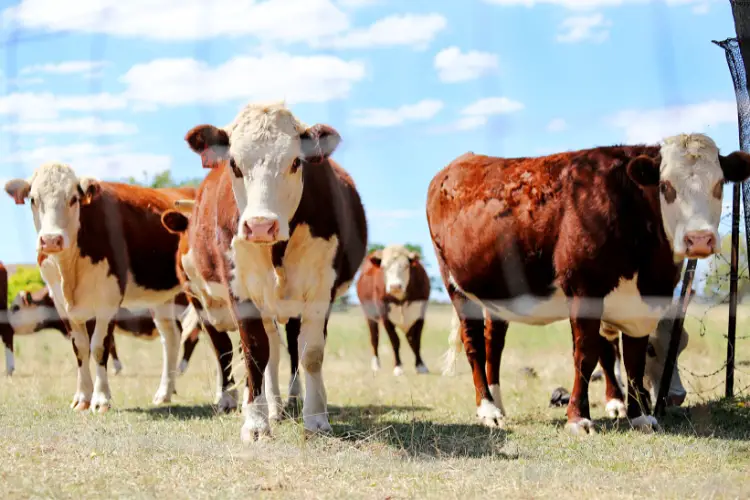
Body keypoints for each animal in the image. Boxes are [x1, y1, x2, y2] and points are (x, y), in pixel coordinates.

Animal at [2, 165, 201, 414]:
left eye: (73, 199)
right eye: (33, 199)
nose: (51, 240)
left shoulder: (109, 301)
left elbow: (99, 346)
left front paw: (101, 399)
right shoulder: (61, 303)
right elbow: (80, 347)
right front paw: (82, 398)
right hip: (160, 298)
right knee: (171, 337)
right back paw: (164, 393)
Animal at [176, 101, 368, 442]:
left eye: (295, 162)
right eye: (234, 164)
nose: (260, 225)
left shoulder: (321, 290)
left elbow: (311, 353)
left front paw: (316, 418)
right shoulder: (240, 291)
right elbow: (255, 353)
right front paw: (255, 423)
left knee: (289, 347)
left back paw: (290, 402)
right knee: (266, 351)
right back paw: (266, 405)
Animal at [356, 244, 432, 376]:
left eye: (406, 266)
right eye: (384, 267)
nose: (395, 286)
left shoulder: (420, 315)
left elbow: (416, 341)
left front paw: (420, 366)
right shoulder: (385, 317)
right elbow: (395, 341)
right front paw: (398, 367)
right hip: (370, 315)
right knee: (374, 339)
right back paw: (376, 365)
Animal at [426, 133, 750, 434]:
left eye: (719, 184)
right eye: (666, 187)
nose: (699, 239)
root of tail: (461, 161)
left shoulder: (640, 304)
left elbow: (630, 358)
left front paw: (638, 415)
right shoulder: (585, 292)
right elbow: (587, 355)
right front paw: (578, 417)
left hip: (498, 293)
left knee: (494, 344)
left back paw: (499, 403)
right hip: (456, 287)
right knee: (474, 345)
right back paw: (487, 409)